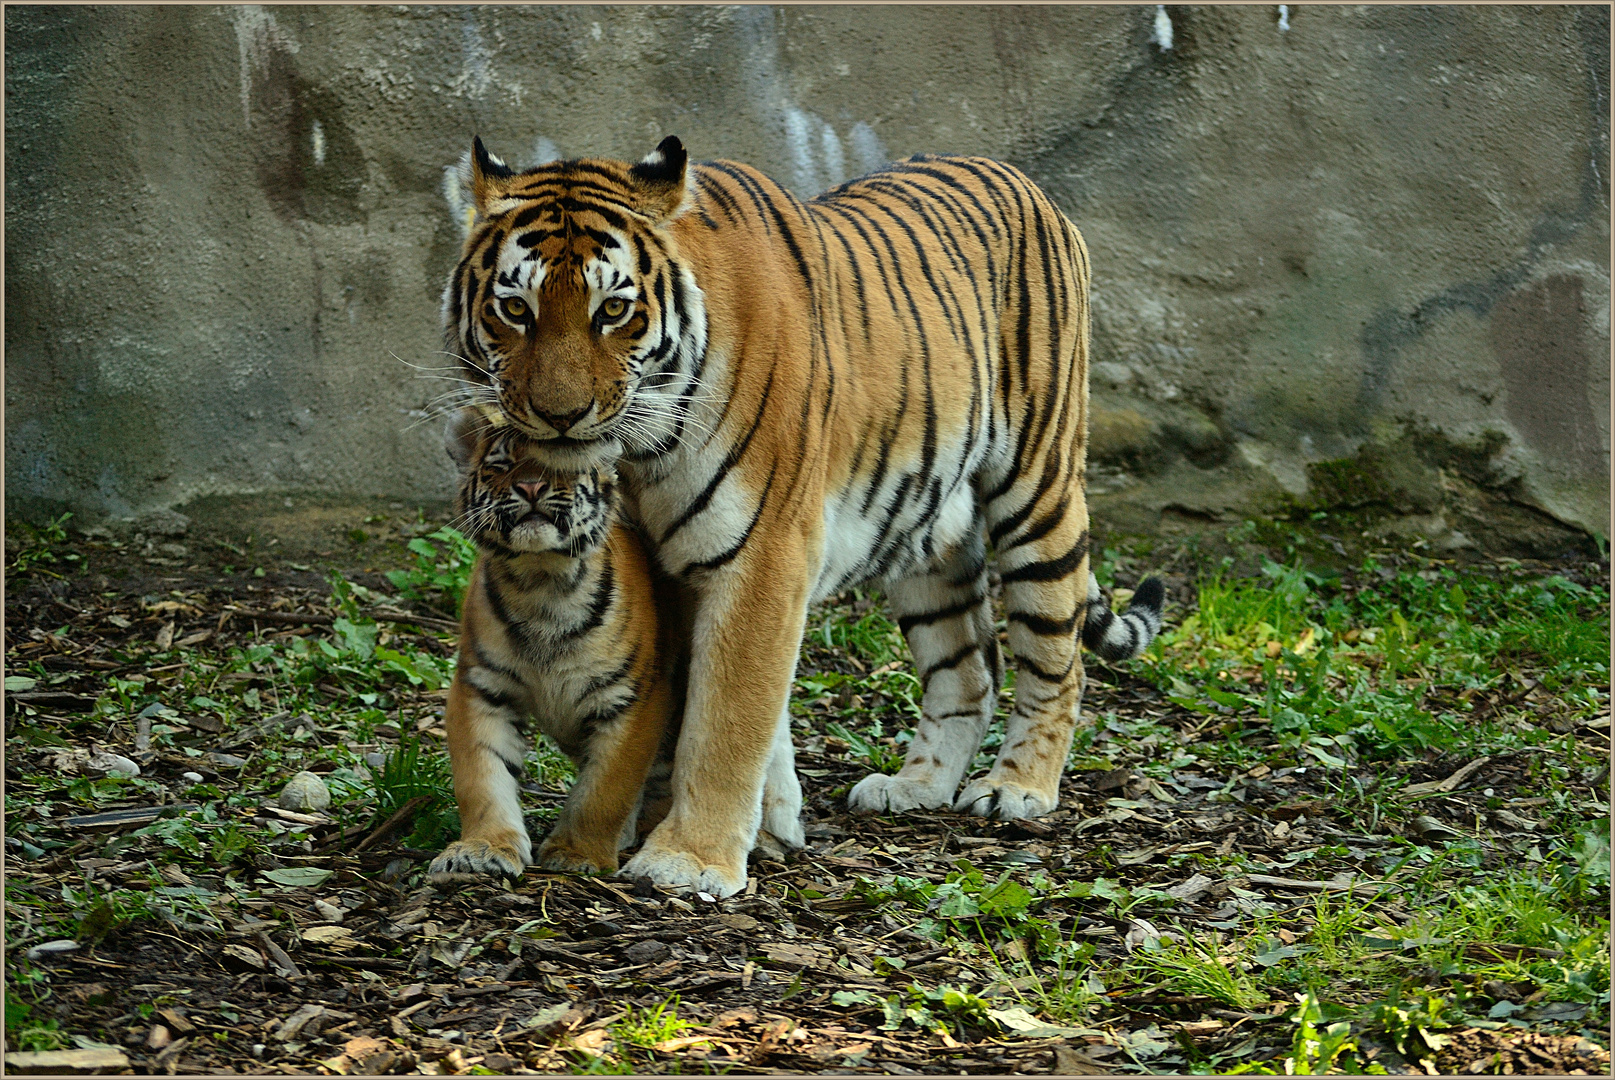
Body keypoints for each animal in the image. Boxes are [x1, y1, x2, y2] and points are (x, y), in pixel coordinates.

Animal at [442, 134, 1162, 891]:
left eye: (611, 310)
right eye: (515, 309)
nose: (559, 417)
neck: (639, 454)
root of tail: (1021, 179)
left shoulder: (763, 550)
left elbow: (728, 713)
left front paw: (690, 858)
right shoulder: (665, 567)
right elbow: (725, 705)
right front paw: (768, 826)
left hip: (1038, 489)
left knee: (1058, 659)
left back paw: (1016, 789)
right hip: (931, 532)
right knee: (969, 668)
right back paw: (916, 786)